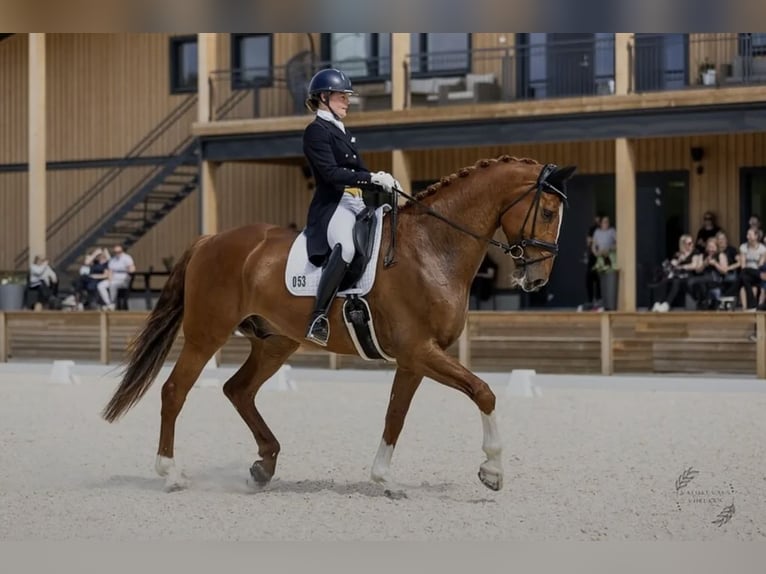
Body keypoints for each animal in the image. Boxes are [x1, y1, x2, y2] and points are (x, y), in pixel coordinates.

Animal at [101, 154, 575, 493]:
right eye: (548, 213)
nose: (537, 279)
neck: (432, 249)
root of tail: (209, 240)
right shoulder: (419, 351)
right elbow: (483, 391)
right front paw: (492, 470)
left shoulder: (414, 358)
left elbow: (395, 415)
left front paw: (384, 478)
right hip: (206, 335)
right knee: (174, 391)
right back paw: (171, 473)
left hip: (275, 342)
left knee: (238, 390)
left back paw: (264, 465)